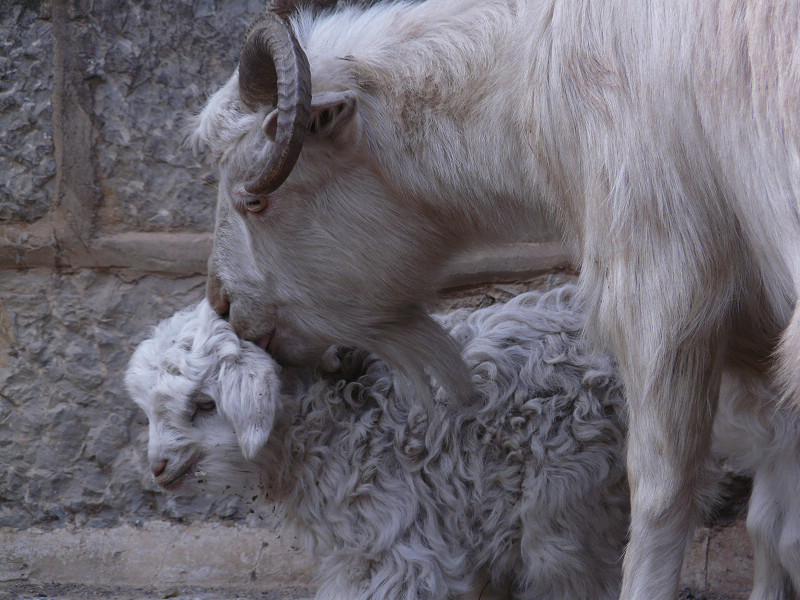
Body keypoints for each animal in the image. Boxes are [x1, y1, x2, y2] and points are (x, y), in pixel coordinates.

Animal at [192, 2, 800, 596]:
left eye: (255, 201)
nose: (223, 304)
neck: (531, 77)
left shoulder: (662, 290)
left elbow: (661, 498)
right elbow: (772, 519)